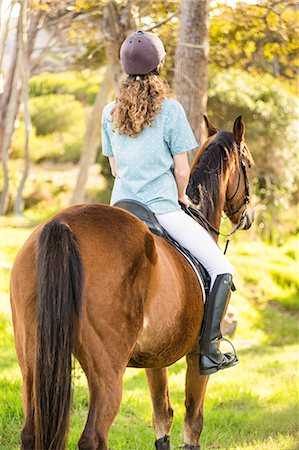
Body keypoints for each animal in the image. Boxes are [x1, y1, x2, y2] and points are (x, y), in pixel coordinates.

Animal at [9, 117, 254, 450]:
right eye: (248, 165)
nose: (247, 218)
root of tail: (62, 224)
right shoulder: (198, 356)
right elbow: (193, 421)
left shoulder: (155, 357)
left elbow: (162, 418)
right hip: (107, 369)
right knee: (93, 437)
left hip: (33, 363)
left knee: (30, 432)